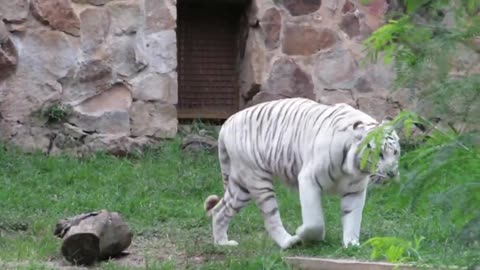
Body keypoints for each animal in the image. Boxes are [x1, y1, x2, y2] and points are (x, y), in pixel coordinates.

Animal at [202, 97, 402, 249]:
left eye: (395, 152)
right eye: (379, 154)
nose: (392, 173)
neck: (353, 169)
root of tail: (227, 122)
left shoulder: (355, 190)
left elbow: (353, 218)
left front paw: (352, 245)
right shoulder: (308, 180)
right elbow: (315, 222)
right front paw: (305, 234)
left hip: (241, 186)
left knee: (220, 210)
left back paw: (222, 244)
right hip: (257, 178)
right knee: (270, 217)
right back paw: (289, 242)